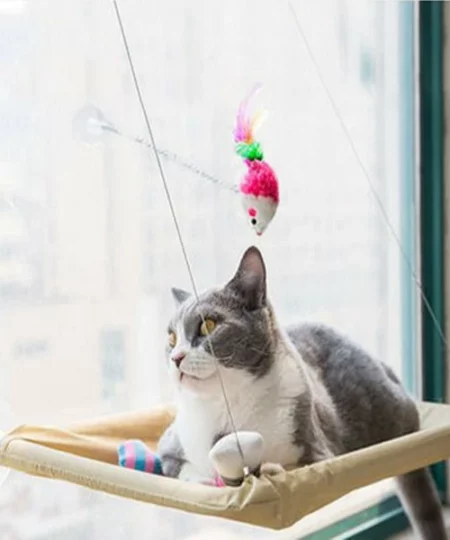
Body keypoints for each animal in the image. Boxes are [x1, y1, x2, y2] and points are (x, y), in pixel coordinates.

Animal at [158, 247, 446, 536]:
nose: (175, 357)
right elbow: (178, 467)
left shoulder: (318, 450)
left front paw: (269, 470)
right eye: (171, 337)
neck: (229, 406)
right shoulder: (171, 443)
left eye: (208, 325)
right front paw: (206, 479)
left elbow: (296, 468)